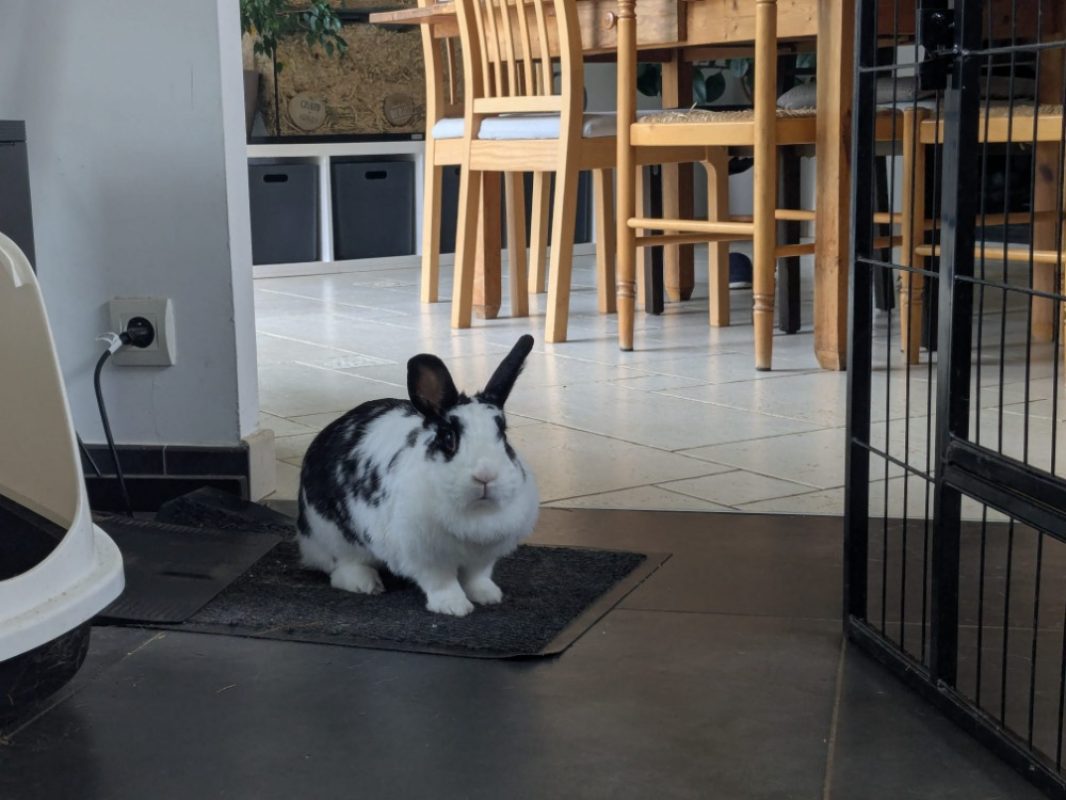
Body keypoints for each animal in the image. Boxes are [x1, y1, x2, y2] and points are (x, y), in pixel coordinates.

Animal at [296, 334, 540, 617]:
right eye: (449, 438)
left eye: (504, 435)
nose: (485, 476)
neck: (474, 511)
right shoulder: (426, 555)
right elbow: (442, 582)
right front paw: (454, 606)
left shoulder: (482, 557)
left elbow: (476, 577)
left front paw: (488, 596)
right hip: (336, 536)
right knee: (342, 568)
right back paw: (366, 584)